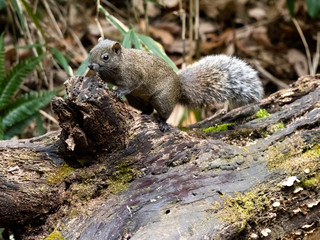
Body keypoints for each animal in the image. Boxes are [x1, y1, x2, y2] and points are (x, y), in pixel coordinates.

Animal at [87, 39, 262, 131]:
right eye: (90, 51)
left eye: (105, 57)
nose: (90, 66)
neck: (121, 63)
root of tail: (179, 87)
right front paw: (100, 81)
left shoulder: (135, 74)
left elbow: (130, 85)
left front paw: (118, 91)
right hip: (137, 99)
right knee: (148, 109)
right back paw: (142, 113)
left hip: (162, 99)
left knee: (163, 112)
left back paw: (162, 123)